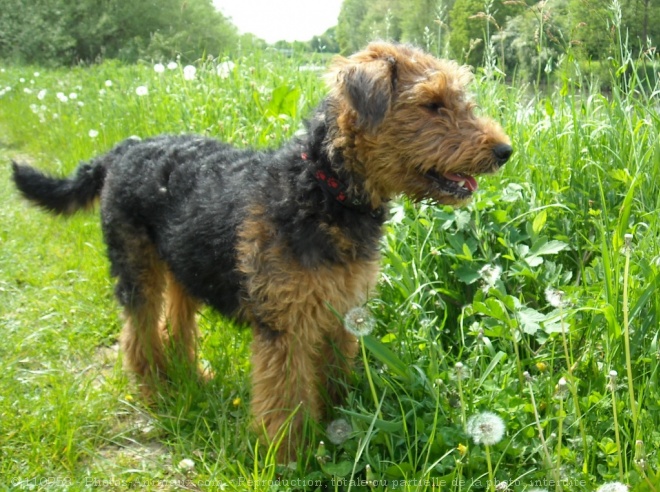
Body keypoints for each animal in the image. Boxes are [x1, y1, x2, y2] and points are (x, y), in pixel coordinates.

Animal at [11, 42, 516, 458]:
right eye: (431, 104)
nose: (504, 150)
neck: (324, 188)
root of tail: (121, 150)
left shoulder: (342, 311)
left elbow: (335, 381)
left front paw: (341, 425)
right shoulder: (286, 324)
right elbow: (285, 399)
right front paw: (289, 458)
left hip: (184, 264)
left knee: (176, 325)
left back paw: (192, 378)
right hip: (137, 267)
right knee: (138, 335)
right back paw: (157, 393)